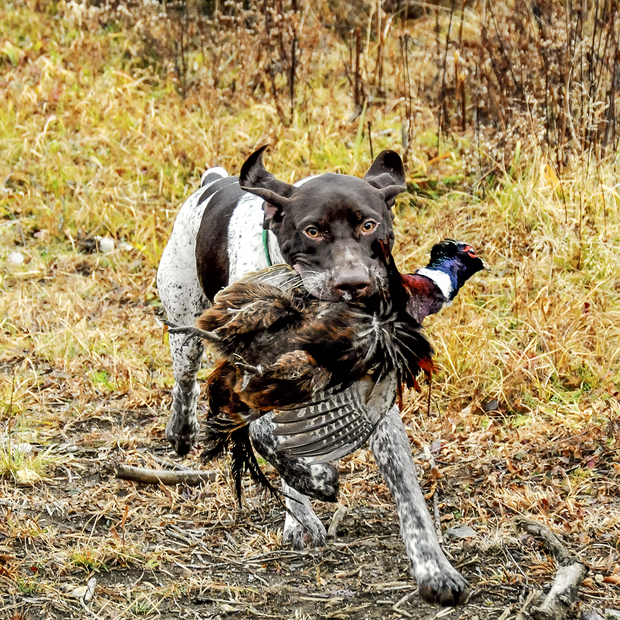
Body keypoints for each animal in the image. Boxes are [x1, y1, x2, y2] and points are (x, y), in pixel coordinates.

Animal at [157, 147, 468, 604]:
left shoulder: (373, 397)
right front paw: (313, 482)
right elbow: (268, 437)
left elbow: (407, 490)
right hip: (184, 322)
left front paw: (433, 567)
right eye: (313, 230)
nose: (354, 284)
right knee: (186, 381)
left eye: (369, 225)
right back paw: (184, 432)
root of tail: (212, 181)